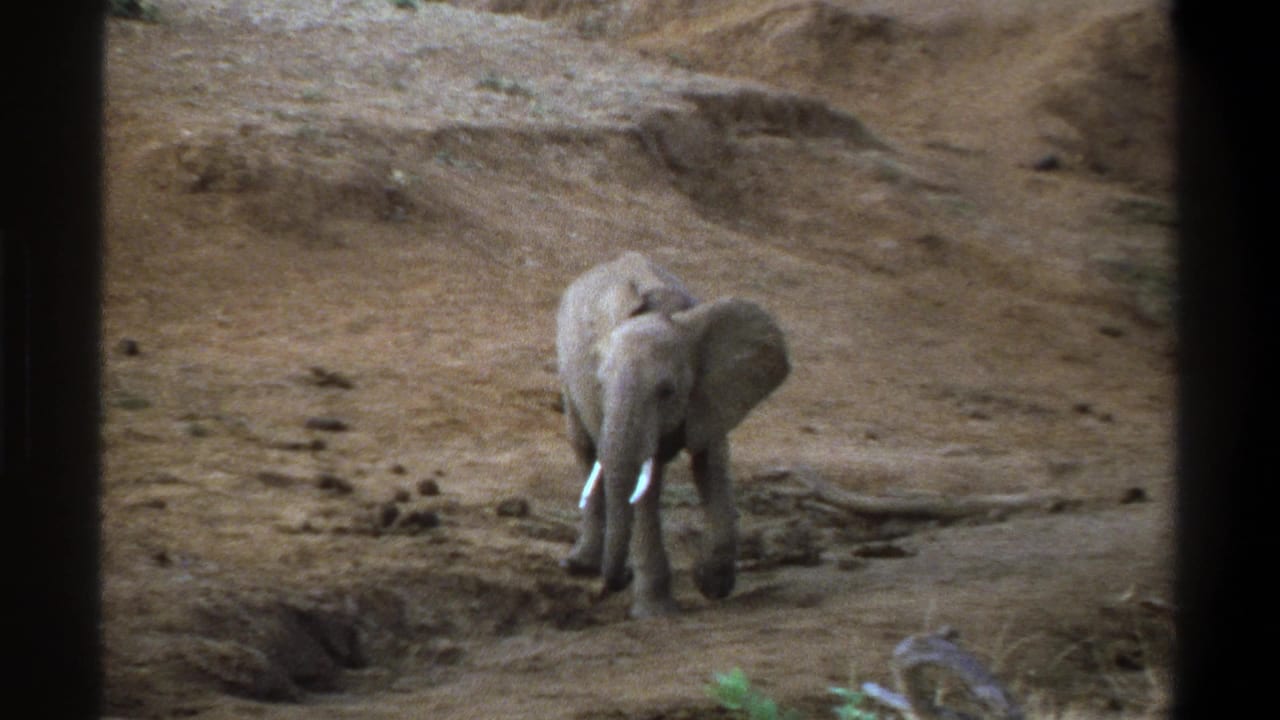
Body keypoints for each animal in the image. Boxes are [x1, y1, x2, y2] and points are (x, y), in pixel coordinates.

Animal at [555, 252, 790, 618]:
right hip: (566, 371)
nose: (620, 579)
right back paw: (580, 566)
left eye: (667, 391)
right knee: (584, 448)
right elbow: (644, 485)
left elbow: (712, 463)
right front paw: (656, 613)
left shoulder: (710, 390)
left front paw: (711, 584)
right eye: (600, 386)